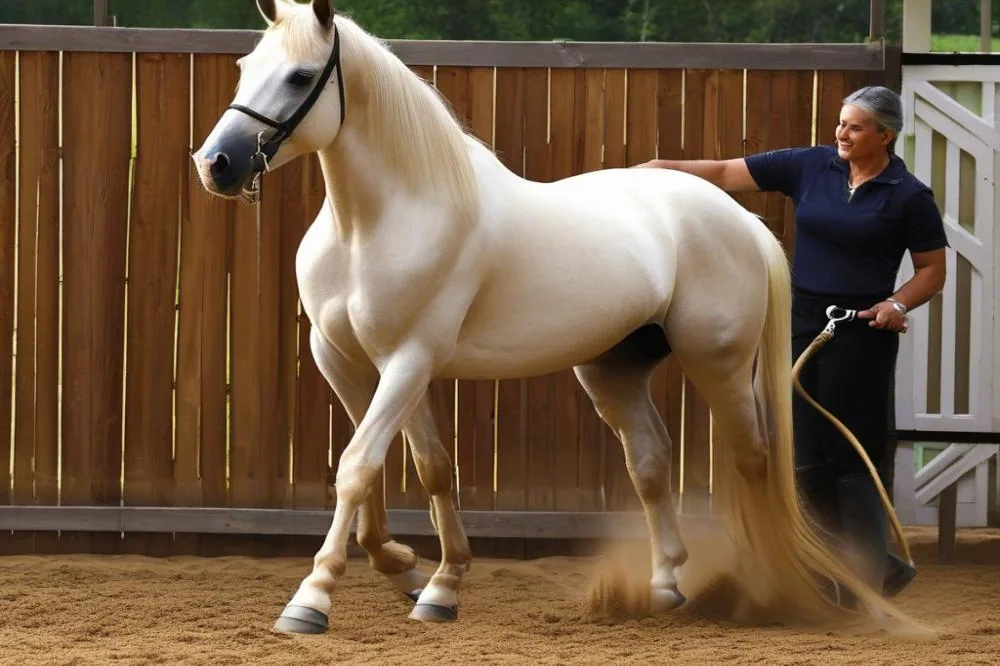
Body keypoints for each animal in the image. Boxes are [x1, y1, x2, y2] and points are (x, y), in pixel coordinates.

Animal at [192, 0, 917, 635]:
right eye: (247, 65)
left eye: (300, 76)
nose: (216, 164)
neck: (380, 220)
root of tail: (737, 218)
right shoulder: (345, 359)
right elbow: (417, 468)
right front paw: (425, 579)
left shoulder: (408, 359)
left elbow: (358, 465)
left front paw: (312, 599)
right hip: (614, 371)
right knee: (651, 463)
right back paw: (665, 585)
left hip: (720, 367)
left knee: (753, 462)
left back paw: (766, 589)